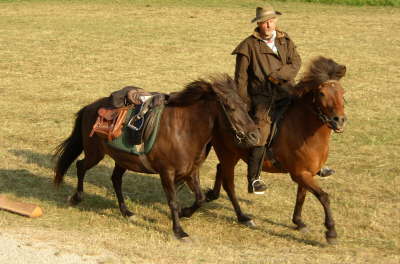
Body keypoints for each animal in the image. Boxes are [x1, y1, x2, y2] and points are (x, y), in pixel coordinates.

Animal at [53, 74, 260, 239]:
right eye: (230, 107)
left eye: (245, 105)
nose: (255, 135)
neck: (184, 130)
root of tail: (89, 107)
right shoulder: (167, 172)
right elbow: (173, 201)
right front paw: (179, 231)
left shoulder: (191, 171)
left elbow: (200, 199)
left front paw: (185, 213)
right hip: (95, 153)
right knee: (81, 166)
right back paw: (77, 197)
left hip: (123, 159)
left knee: (116, 179)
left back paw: (126, 212)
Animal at [206, 56, 346, 244]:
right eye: (322, 94)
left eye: (342, 92)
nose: (339, 120)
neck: (304, 128)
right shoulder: (300, 174)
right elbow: (323, 196)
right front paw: (331, 232)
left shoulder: (306, 173)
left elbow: (301, 196)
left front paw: (298, 222)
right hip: (227, 153)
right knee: (229, 184)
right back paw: (243, 217)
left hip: (232, 154)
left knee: (220, 169)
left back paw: (212, 195)